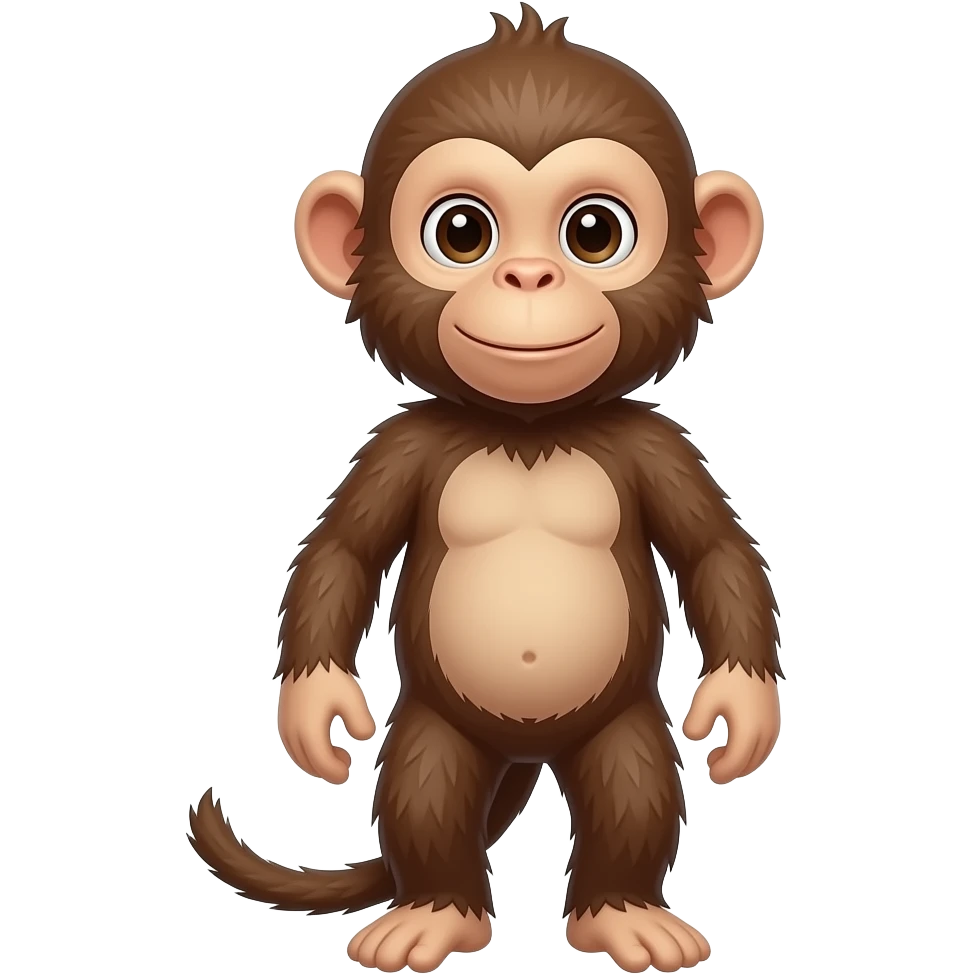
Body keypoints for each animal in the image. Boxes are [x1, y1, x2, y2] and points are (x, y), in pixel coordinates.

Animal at [187, 6, 783, 973]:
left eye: (594, 232)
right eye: (462, 231)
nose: (529, 277)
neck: (527, 429)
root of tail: (527, 751)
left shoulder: (655, 444)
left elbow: (714, 550)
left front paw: (743, 706)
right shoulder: (403, 444)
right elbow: (343, 551)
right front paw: (316, 710)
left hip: (618, 722)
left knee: (632, 784)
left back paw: (623, 912)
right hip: (440, 724)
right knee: (426, 788)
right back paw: (437, 913)